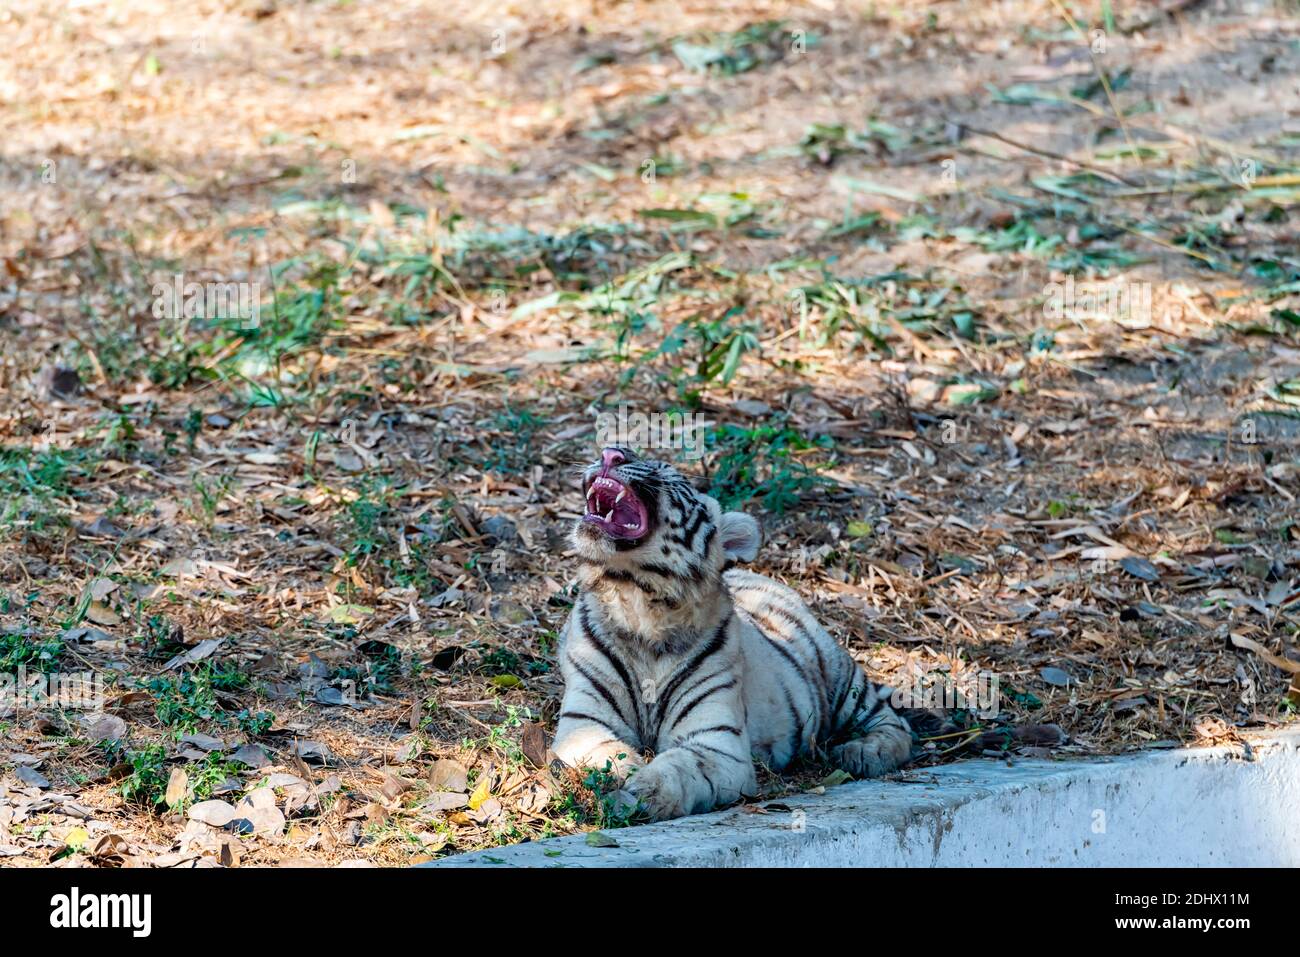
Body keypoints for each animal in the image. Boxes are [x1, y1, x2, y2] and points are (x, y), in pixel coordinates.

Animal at [551, 444, 915, 816]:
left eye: (666, 472)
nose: (611, 454)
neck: (638, 601)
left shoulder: (719, 743)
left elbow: (683, 766)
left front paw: (646, 789)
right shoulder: (583, 721)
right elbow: (607, 755)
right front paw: (622, 779)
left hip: (841, 678)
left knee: (894, 722)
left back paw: (865, 752)